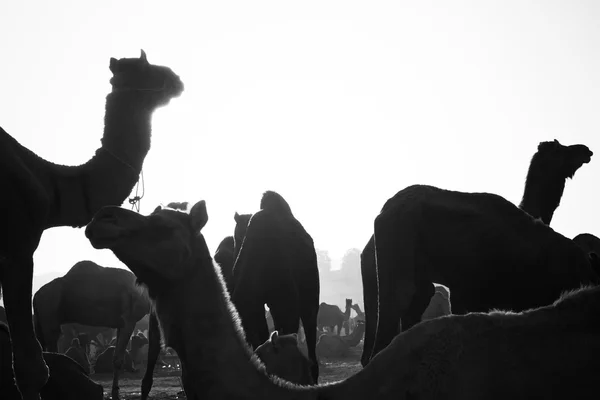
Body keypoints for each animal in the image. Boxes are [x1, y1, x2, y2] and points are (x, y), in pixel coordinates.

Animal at [32, 260, 151, 398]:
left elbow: (115, 357)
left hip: (41, 322)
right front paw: (115, 392)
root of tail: (35, 295)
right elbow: (118, 360)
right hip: (49, 317)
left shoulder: (120, 325)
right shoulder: (129, 321)